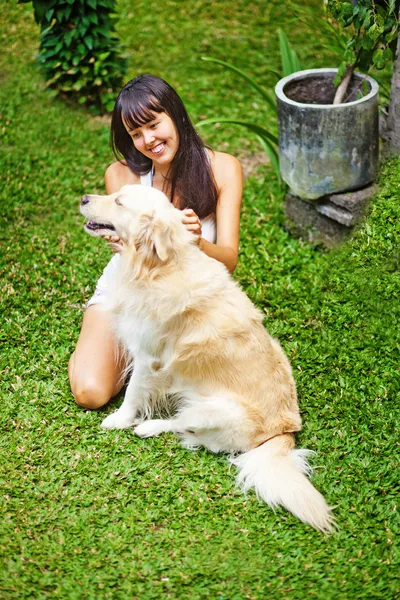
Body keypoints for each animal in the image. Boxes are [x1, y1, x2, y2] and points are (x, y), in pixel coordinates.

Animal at [79, 185, 332, 532]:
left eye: (118, 202)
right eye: (115, 192)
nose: (83, 199)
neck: (155, 267)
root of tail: (286, 433)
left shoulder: (148, 357)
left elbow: (132, 394)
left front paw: (120, 419)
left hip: (216, 410)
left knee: (189, 429)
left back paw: (149, 427)